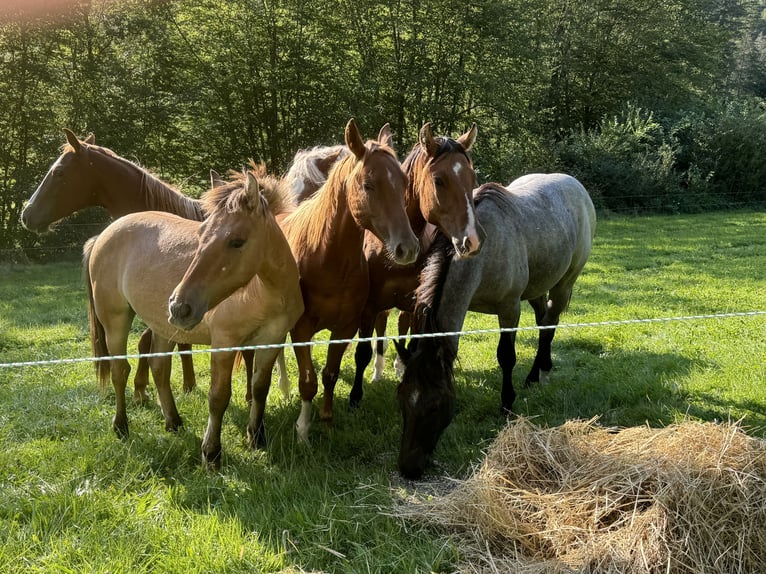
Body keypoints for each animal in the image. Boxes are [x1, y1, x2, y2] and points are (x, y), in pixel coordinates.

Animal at [82, 166, 302, 468]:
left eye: (237, 241)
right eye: (201, 235)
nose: (179, 307)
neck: (265, 292)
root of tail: (102, 236)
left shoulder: (272, 339)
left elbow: (260, 388)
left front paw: (256, 437)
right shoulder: (224, 343)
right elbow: (218, 397)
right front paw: (211, 453)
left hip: (162, 327)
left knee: (159, 367)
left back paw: (173, 421)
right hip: (115, 321)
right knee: (120, 371)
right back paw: (121, 426)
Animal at [280, 119, 420, 444]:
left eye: (404, 183)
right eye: (368, 184)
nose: (407, 248)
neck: (327, 260)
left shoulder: (345, 328)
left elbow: (329, 375)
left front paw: (327, 422)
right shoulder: (301, 329)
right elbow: (308, 381)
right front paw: (303, 431)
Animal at [350, 121, 484, 410]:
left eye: (472, 179)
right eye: (439, 180)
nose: (473, 240)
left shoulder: (416, 304)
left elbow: (411, 343)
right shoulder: (369, 305)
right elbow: (363, 350)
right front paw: (355, 396)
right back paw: (378, 372)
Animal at [396, 174, 600, 482]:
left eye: (435, 404)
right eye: (402, 398)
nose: (409, 468)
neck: (483, 252)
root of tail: (576, 184)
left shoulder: (509, 310)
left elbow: (506, 357)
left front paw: (506, 404)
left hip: (564, 284)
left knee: (550, 324)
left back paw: (544, 369)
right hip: (537, 287)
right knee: (543, 320)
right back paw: (534, 374)